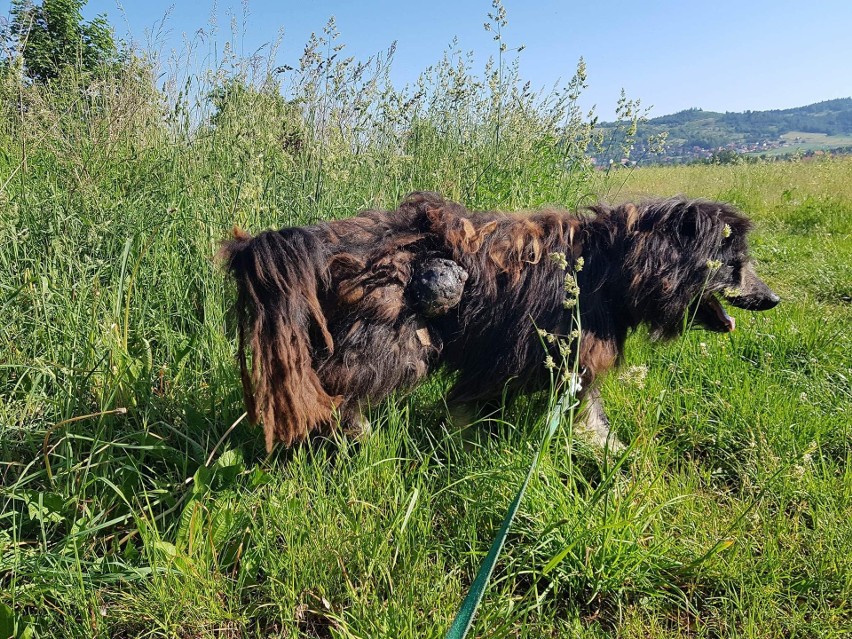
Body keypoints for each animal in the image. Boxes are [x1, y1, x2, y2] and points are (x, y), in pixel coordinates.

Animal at [220, 192, 780, 452]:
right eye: (734, 264)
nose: (773, 299)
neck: (609, 264)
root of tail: (331, 241)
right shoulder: (529, 344)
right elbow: (475, 399)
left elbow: (585, 405)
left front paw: (608, 448)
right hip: (395, 334)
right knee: (344, 388)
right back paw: (364, 440)